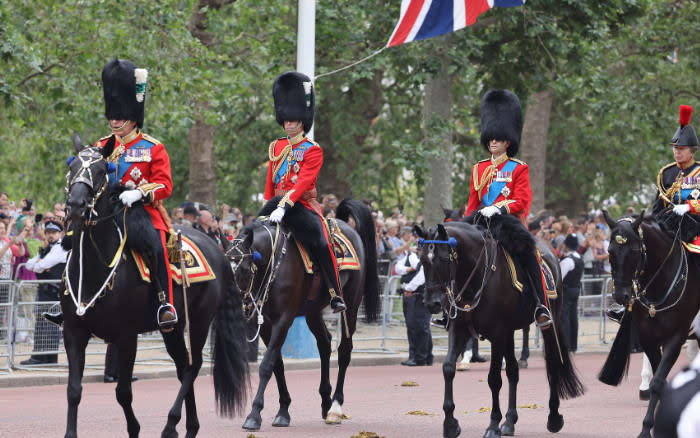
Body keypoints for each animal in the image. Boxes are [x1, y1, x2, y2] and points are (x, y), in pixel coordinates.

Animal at [60, 135, 249, 436]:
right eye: (72, 167)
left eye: (101, 171)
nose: (76, 206)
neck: (94, 264)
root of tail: (218, 248)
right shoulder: (74, 331)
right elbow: (74, 391)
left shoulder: (126, 336)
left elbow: (123, 392)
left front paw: (135, 429)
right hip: (174, 327)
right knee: (183, 366)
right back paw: (190, 426)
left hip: (199, 320)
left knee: (192, 366)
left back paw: (171, 424)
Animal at [231, 198, 380, 432]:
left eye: (244, 269)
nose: (237, 305)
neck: (274, 262)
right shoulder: (264, 323)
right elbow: (277, 364)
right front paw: (283, 411)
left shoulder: (284, 319)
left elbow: (266, 365)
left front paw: (254, 414)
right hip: (312, 310)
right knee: (325, 343)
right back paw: (325, 402)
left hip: (352, 306)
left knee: (344, 351)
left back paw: (335, 407)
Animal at [416, 222, 584, 438]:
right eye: (422, 260)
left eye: (443, 259)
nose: (432, 303)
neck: (476, 277)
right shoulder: (460, 329)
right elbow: (448, 368)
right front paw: (450, 424)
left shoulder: (497, 334)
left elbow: (494, 379)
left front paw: (493, 425)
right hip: (509, 333)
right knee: (513, 371)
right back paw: (510, 421)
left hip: (547, 324)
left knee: (552, 362)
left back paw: (553, 417)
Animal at [596, 210, 700, 436]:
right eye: (610, 251)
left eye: (635, 251)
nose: (621, 296)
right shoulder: (648, 337)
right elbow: (657, 380)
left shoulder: (676, 337)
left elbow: (658, 381)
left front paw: (647, 428)